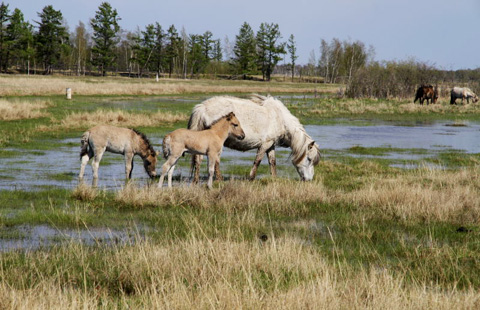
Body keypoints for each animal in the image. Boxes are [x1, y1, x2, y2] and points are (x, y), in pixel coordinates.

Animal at [189, 94, 320, 182]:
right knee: (214, 160)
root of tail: (202, 108)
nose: (309, 179)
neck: (280, 118)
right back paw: (219, 179)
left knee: (198, 158)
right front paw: (251, 178)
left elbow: (272, 162)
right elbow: (257, 161)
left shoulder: (271, 145)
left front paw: (274, 179)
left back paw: (196, 180)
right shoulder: (265, 144)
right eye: (309, 159)